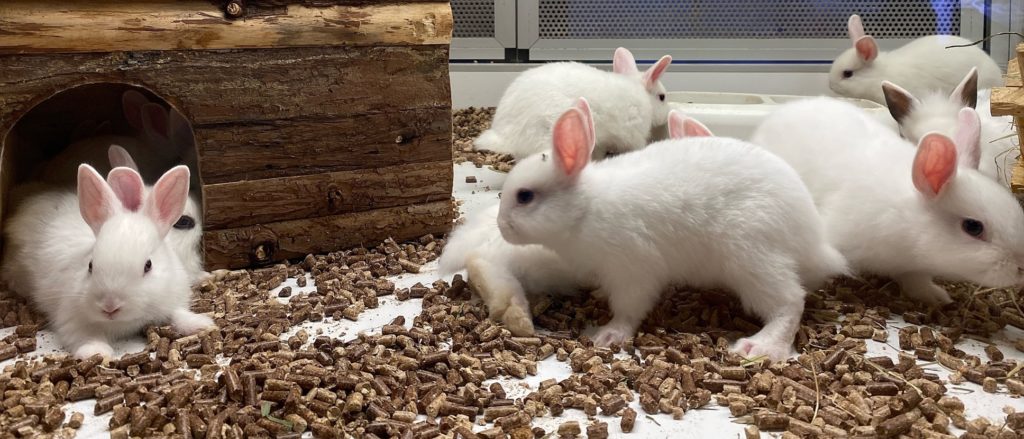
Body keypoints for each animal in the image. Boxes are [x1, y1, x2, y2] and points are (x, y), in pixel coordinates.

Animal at [1, 164, 215, 359]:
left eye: (148, 265)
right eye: (90, 266)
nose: (110, 306)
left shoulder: (173, 298)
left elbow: (178, 314)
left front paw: (202, 325)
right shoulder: (71, 317)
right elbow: (85, 336)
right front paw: (96, 353)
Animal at [496, 98, 847, 360]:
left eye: (525, 196)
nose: (501, 227)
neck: (586, 209)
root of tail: (814, 239)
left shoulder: (632, 270)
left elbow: (628, 310)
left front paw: (606, 335)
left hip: (753, 258)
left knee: (791, 302)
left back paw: (758, 347)